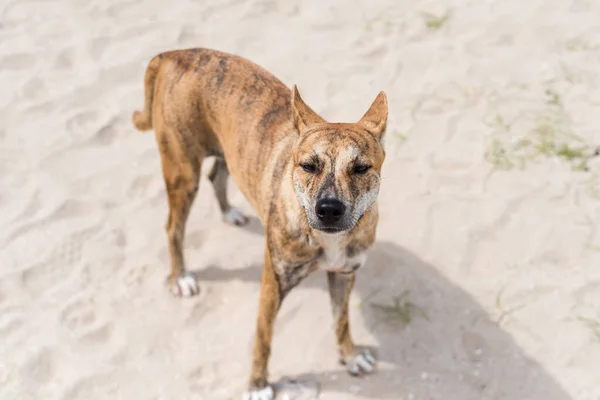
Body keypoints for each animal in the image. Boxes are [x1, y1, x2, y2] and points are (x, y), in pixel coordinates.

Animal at [131, 47, 386, 400]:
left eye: (361, 168)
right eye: (308, 166)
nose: (329, 209)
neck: (326, 239)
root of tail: (176, 53)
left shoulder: (344, 273)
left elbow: (341, 320)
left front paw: (350, 356)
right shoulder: (273, 284)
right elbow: (263, 339)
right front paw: (258, 385)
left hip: (227, 151)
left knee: (217, 175)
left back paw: (229, 212)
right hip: (182, 174)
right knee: (173, 228)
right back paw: (180, 277)